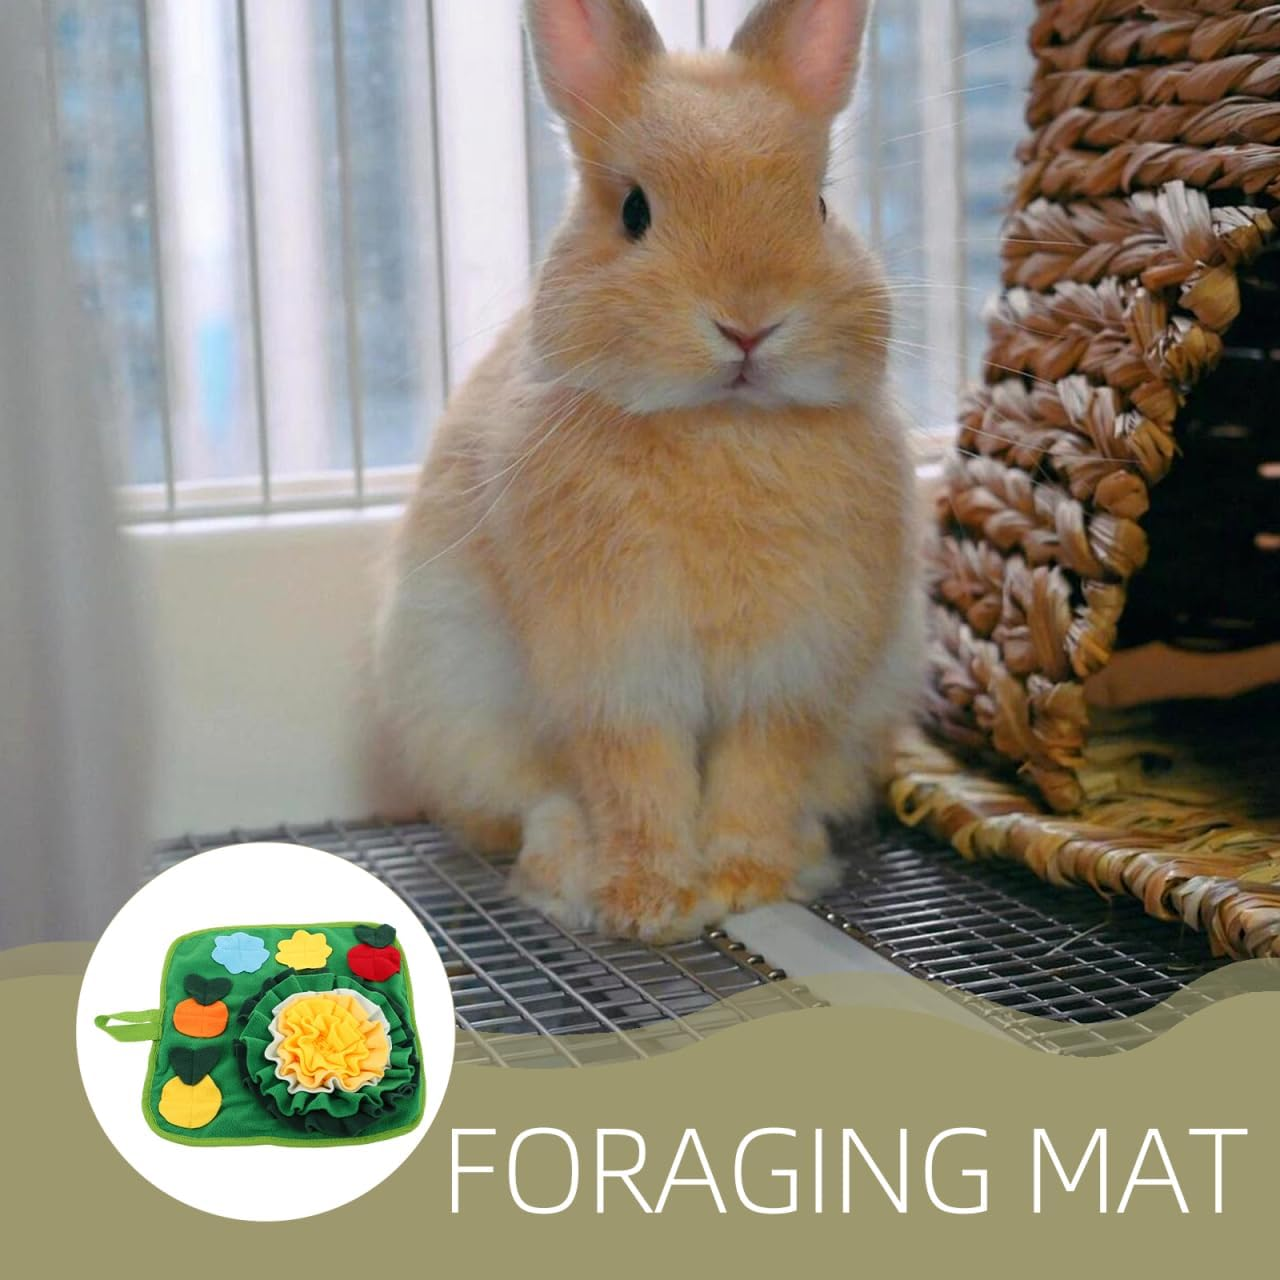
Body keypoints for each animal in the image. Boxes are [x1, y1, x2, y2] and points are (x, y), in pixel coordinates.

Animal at [373, 0, 923, 942]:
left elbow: (759, 771)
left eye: (819, 205)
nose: (748, 324)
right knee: (536, 807)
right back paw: (566, 870)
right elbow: (637, 778)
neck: (719, 427)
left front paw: (746, 883)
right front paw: (649, 907)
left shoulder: (792, 672)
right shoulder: (614, 670)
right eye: (634, 211)